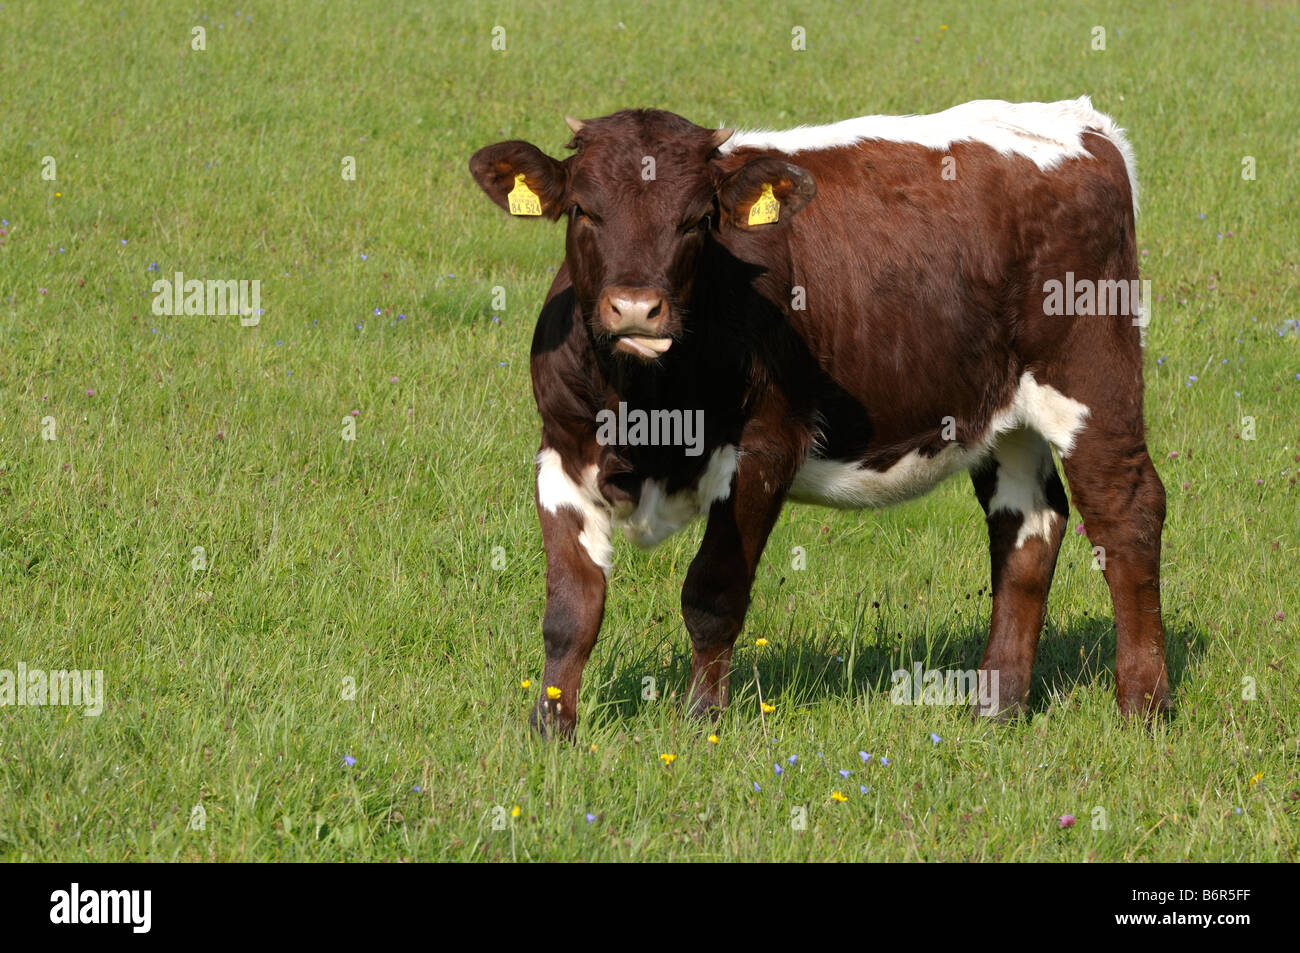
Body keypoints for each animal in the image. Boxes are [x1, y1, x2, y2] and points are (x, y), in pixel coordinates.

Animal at [467, 96, 1170, 738]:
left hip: (1092, 375)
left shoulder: (763, 448)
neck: (643, 405)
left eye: (699, 220)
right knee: (1027, 526)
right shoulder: (560, 453)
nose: (636, 309)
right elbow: (571, 610)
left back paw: (1143, 704)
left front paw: (702, 724)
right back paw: (995, 707)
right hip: (1008, 411)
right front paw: (550, 730)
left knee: (1126, 510)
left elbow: (712, 594)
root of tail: (1077, 121)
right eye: (583, 210)